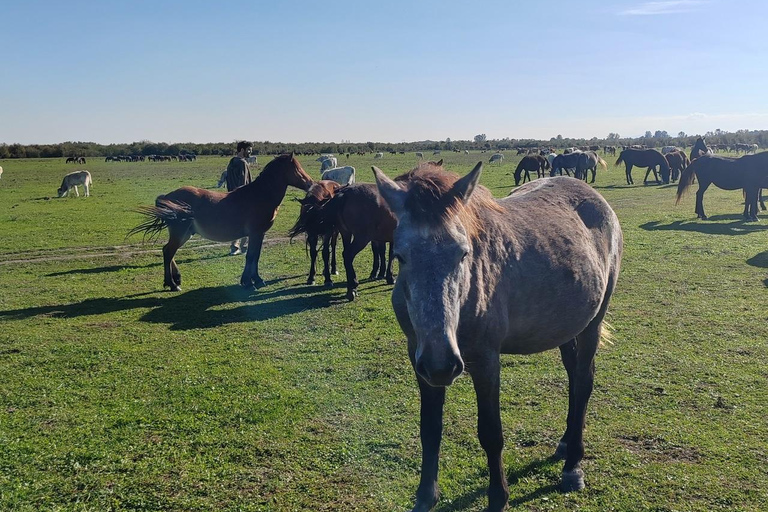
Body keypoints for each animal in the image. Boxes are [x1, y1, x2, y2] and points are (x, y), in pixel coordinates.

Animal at [130, 153, 314, 292]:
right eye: (297, 168)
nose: (311, 183)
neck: (259, 195)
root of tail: (168, 197)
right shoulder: (255, 233)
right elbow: (251, 256)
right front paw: (249, 283)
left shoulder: (259, 234)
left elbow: (256, 256)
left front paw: (255, 280)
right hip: (180, 233)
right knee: (168, 252)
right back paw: (173, 284)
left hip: (185, 234)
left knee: (169, 251)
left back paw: (175, 279)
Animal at [374, 161, 624, 512]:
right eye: (400, 256)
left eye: (463, 254)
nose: (442, 363)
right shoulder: (419, 359)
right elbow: (430, 429)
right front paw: (425, 496)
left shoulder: (486, 361)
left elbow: (491, 433)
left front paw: (498, 496)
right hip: (566, 326)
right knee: (575, 379)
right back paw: (564, 443)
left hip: (593, 322)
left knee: (584, 381)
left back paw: (573, 466)